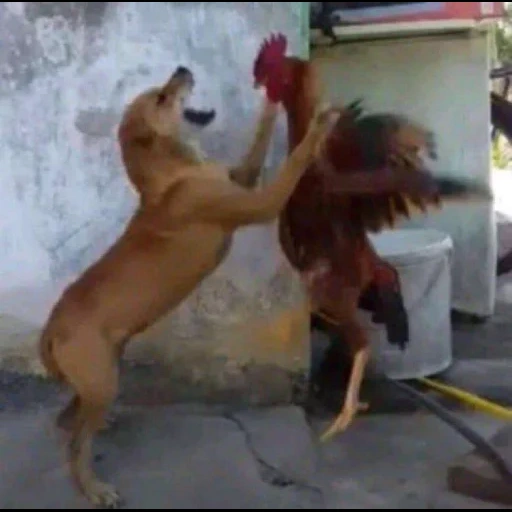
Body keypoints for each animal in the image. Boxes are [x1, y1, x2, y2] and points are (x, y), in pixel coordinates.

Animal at [38, 65, 338, 508]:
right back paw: (93, 488)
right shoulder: (261, 203)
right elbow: (295, 160)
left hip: (103, 372)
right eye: (161, 98)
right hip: (102, 378)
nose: (182, 69)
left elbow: (259, 140)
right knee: (76, 442)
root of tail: (51, 326)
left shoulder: (241, 178)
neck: (174, 172)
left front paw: (271, 96)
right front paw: (319, 125)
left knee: (70, 420)